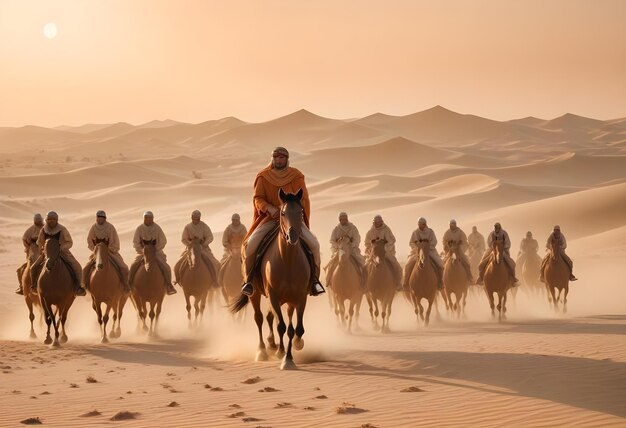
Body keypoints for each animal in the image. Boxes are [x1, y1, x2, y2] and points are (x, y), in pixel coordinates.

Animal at [228, 189, 308, 370]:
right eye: (283, 213)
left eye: (301, 212)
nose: (293, 236)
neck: (288, 261)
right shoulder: (273, 296)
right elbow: (281, 326)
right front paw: (284, 357)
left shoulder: (300, 297)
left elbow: (296, 329)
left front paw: (293, 350)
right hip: (255, 293)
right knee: (259, 318)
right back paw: (263, 351)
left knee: (277, 319)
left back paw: (275, 346)